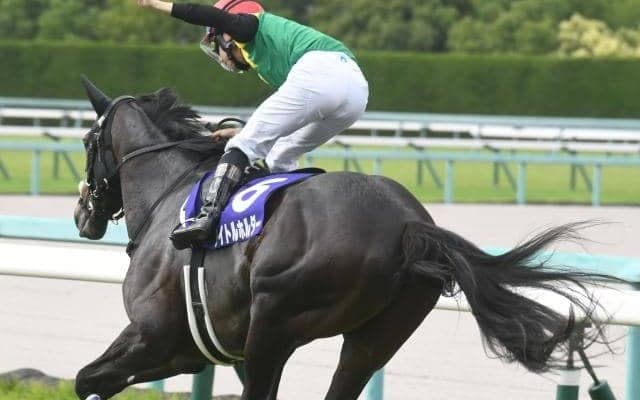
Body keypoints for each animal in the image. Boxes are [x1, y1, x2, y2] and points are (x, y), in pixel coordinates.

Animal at [73, 77, 609, 400]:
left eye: (86, 141)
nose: (82, 214)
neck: (171, 191)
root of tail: (409, 224)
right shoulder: (188, 351)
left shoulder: (154, 333)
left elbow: (86, 380)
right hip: (376, 336)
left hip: (274, 321)